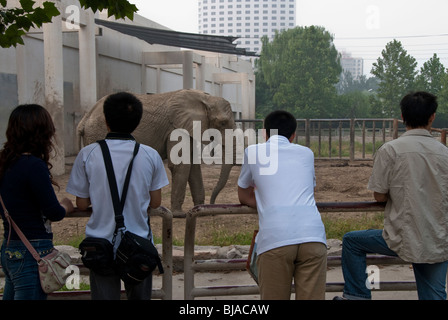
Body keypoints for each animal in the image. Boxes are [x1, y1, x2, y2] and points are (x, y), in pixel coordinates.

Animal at [77, 89, 236, 212]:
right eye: (223, 123)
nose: (213, 204)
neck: (205, 98)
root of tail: (84, 119)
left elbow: (193, 167)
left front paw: (200, 210)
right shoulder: (175, 128)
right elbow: (180, 165)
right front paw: (178, 214)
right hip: (98, 133)